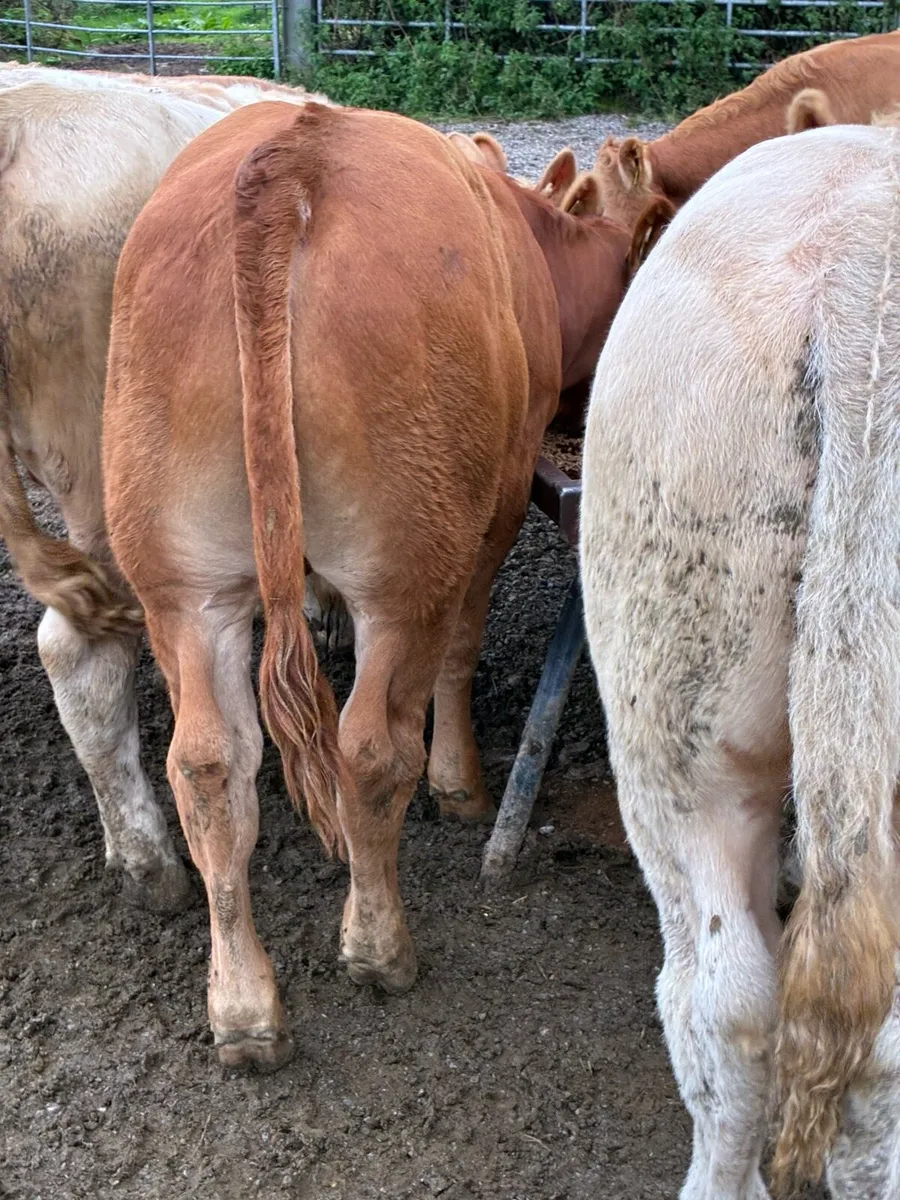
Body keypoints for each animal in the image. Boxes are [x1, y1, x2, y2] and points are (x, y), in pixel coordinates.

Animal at [101, 99, 669, 1067]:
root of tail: (292, 156)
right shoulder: (499, 498)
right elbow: (462, 651)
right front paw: (462, 784)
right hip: (407, 560)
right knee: (368, 749)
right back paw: (379, 948)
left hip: (181, 584)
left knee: (209, 766)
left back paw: (244, 1009)